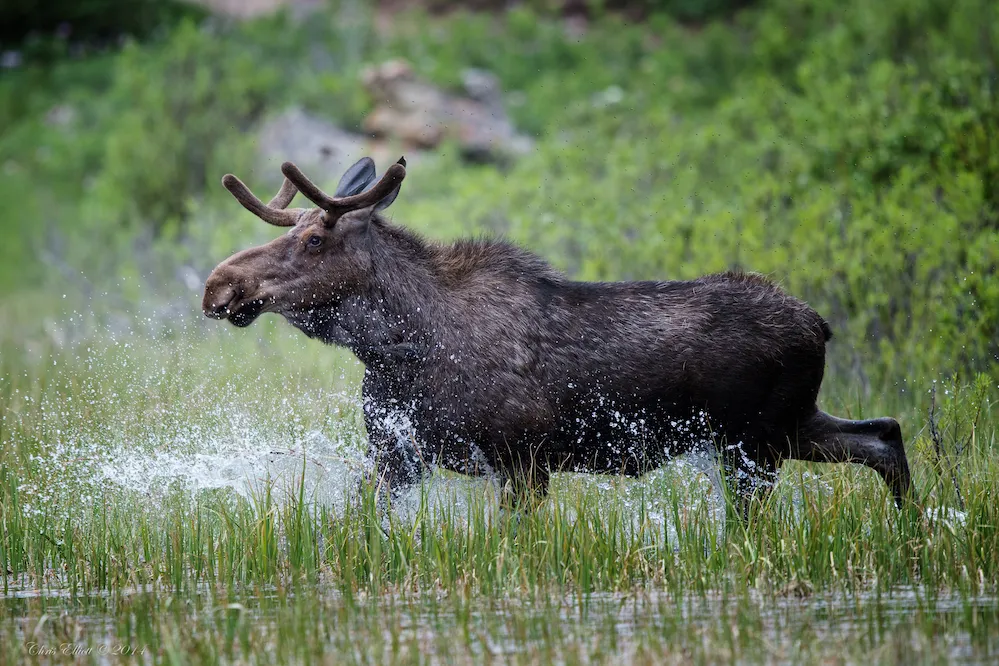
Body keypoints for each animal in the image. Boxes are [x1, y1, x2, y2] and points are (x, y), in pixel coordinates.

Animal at [203, 157, 916, 508]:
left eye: (314, 239)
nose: (219, 284)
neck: (396, 348)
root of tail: (820, 325)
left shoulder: (523, 459)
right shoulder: (399, 456)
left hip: (752, 445)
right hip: (787, 427)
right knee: (883, 434)